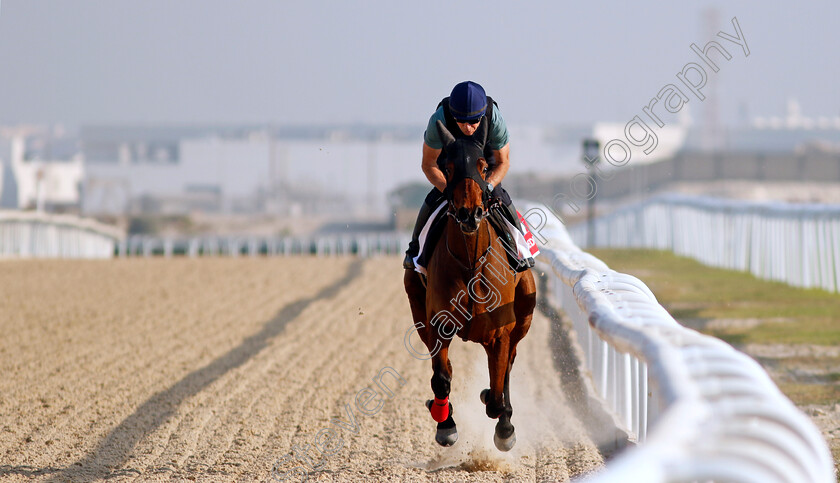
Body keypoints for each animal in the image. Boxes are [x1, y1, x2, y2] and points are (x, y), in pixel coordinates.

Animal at [404, 119, 536, 452]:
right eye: (449, 167)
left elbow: (498, 392)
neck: (471, 261)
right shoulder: (437, 323)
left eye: (482, 165)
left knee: (507, 368)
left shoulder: (501, 332)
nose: (469, 213)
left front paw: (504, 426)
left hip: (524, 317)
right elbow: (441, 377)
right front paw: (445, 424)